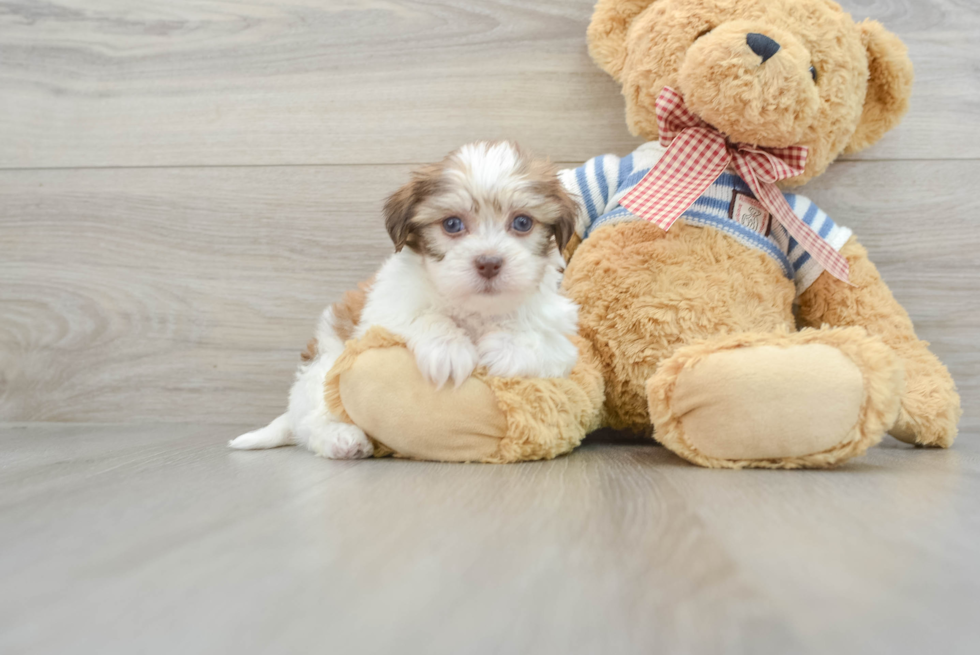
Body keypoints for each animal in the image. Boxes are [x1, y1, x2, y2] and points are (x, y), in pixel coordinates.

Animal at [230, 142, 580, 462]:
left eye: (522, 222)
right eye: (452, 224)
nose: (489, 262)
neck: (474, 309)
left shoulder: (559, 335)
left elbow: (538, 336)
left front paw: (507, 348)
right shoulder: (385, 309)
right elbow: (421, 315)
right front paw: (448, 349)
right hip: (323, 368)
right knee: (313, 420)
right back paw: (341, 438)